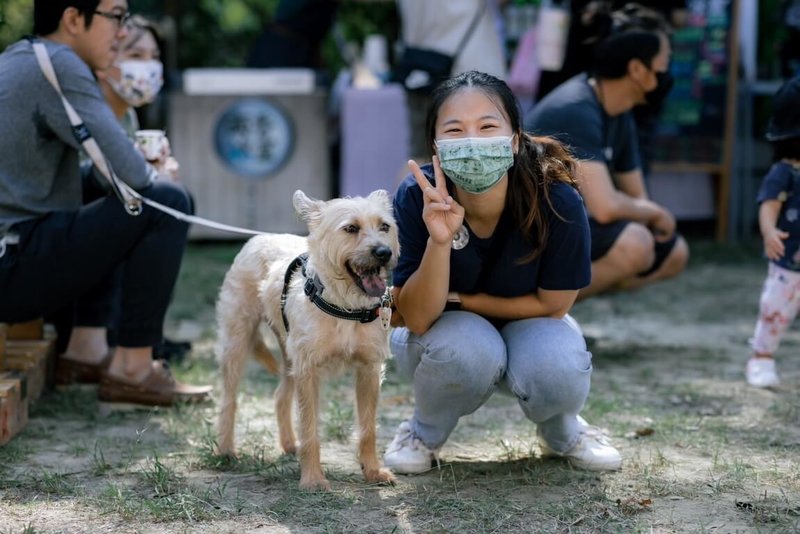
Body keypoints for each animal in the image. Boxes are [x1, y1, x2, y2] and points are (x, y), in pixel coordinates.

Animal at [216, 191, 400, 492]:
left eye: (385, 226)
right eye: (351, 228)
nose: (384, 253)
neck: (345, 304)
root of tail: (260, 237)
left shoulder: (369, 370)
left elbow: (368, 428)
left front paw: (373, 471)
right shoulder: (308, 371)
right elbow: (310, 427)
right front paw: (313, 479)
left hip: (289, 354)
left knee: (280, 396)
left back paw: (290, 444)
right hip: (237, 342)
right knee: (229, 400)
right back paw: (226, 450)